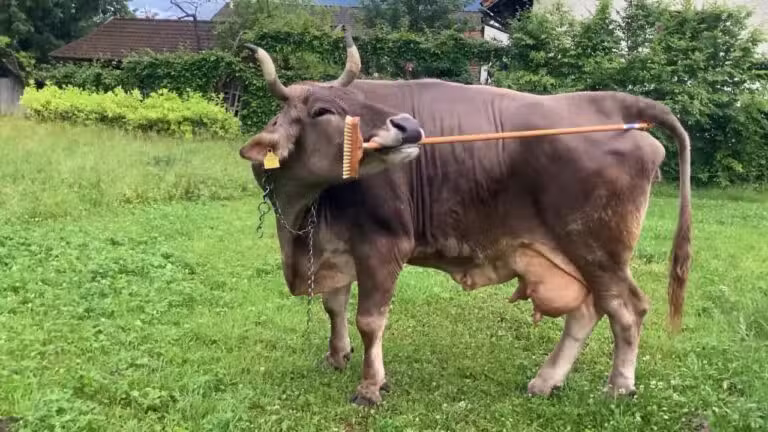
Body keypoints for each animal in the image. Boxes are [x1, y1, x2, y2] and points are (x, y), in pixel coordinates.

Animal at [238, 32, 692, 406]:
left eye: (360, 102)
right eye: (322, 110)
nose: (408, 126)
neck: (302, 214)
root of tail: (612, 101)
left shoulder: (383, 244)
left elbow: (369, 319)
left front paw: (370, 387)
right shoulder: (334, 244)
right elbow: (334, 304)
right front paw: (336, 356)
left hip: (598, 249)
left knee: (627, 309)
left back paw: (618, 385)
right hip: (577, 254)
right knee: (588, 310)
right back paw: (546, 381)